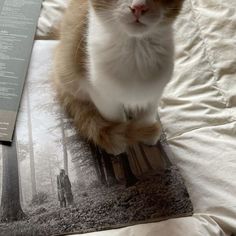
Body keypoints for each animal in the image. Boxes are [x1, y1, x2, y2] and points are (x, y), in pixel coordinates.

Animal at [52, 0, 183, 154]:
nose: (138, 7)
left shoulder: (156, 90)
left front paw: (147, 134)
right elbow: (116, 119)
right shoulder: (98, 92)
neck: (135, 51)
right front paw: (121, 141)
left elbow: (148, 113)